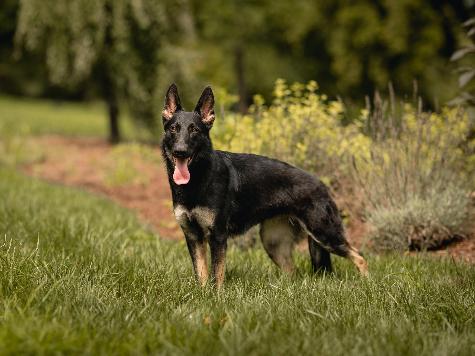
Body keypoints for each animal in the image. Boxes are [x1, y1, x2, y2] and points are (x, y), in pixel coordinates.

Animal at [162, 82, 370, 286]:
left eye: (194, 130)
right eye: (173, 129)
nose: (180, 151)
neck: (197, 181)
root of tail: (322, 185)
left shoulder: (218, 237)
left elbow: (217, 276)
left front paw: (216, 295)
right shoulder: (193, 237)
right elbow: (202, 275)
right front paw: (204, 293)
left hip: (325, 233)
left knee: (360, 256)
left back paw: (366, 283)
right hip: (273, 242)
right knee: (293, 273)